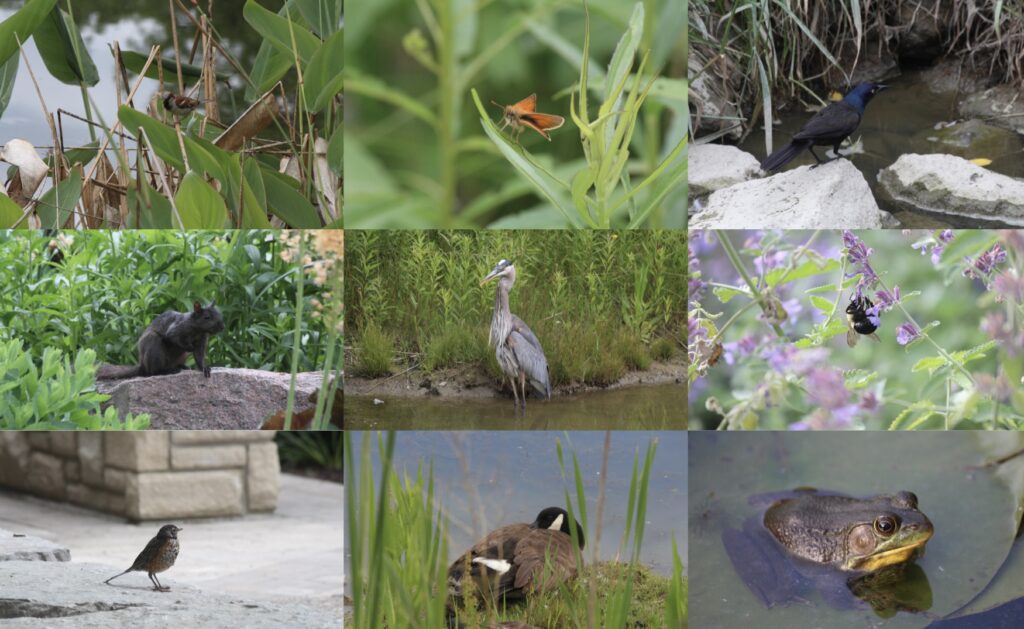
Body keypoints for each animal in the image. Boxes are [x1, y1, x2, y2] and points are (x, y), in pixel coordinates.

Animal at [96, 301, 225, 379]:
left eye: (219, 314)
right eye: (207, 317)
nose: (222, 327)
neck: (198, 330)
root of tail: (142, 365)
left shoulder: (202, 340)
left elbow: (199, 356)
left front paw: (204, 368)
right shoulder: (177, 328)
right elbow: (174, 337)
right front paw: (189, 346)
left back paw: (182, 366)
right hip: (153, 344)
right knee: (154, 372)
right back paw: (168, 371)